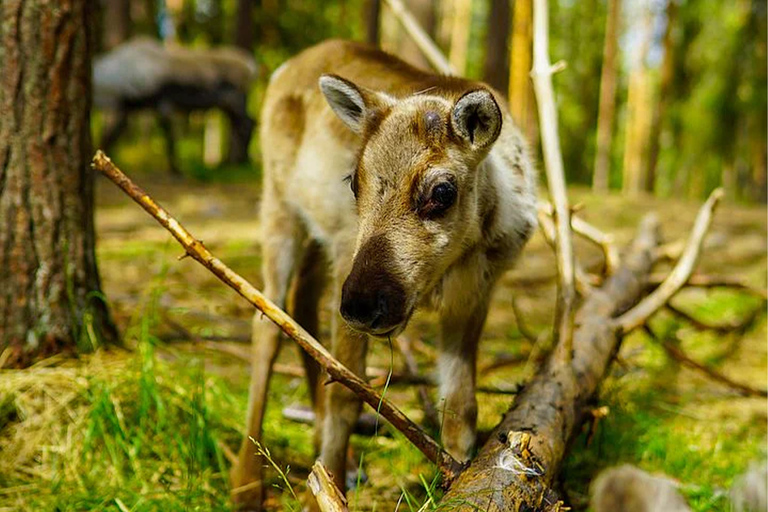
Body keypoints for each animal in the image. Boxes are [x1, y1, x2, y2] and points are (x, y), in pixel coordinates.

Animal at [231, 39, 536, 508]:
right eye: (354, 182)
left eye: (441, 191)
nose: (362, 304)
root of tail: (285, 67)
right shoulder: (347, 256)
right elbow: (346, 393)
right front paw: (324, 492)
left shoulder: (475, 294)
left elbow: (460, 407)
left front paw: (458, 479)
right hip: (280, 205)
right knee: (266, 320)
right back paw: (246, 485)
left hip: (320, 240)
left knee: (302, 304)